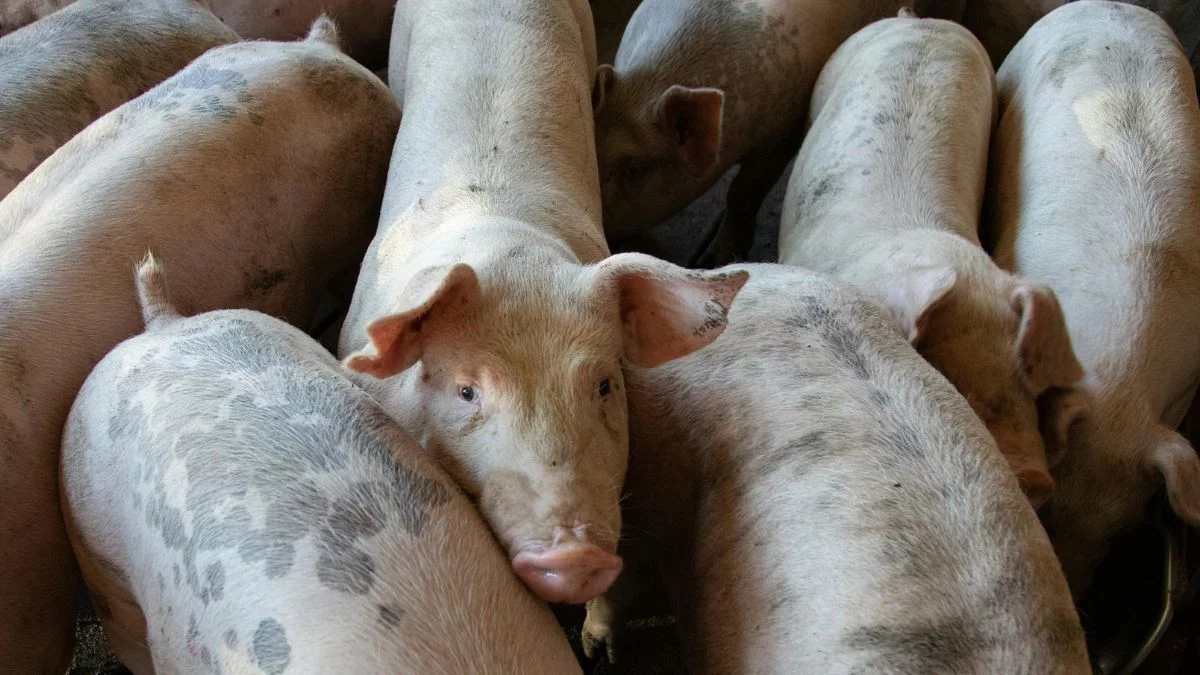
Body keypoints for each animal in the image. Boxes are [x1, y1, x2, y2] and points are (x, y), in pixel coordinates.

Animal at [987, 0, 1200, 594]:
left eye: (1118, 532)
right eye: (1045, 512)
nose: (1079, 599)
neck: (1122, 381)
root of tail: (1112, 4)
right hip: (1013, 70)